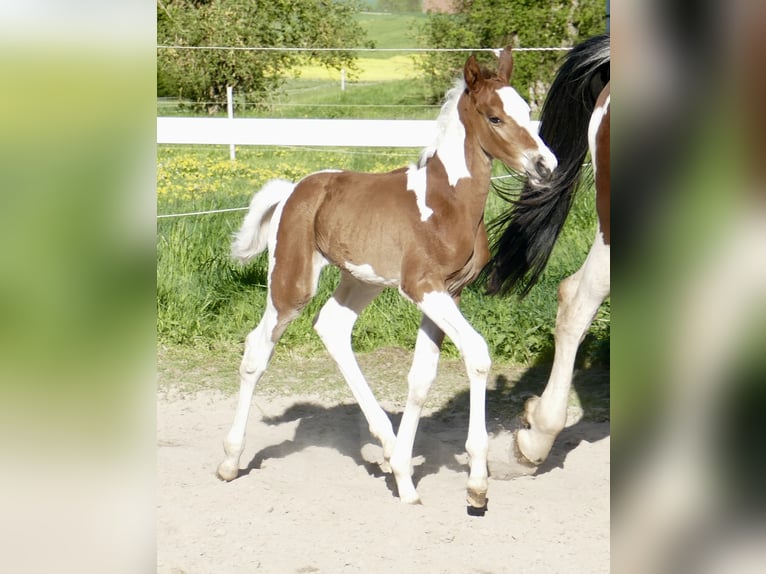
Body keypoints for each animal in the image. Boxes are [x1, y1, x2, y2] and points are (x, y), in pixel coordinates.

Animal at [216, 46, 557, 509]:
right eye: (495, 118)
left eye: (527, 110)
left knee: (332, 327)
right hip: (291, 281)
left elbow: (421, 377)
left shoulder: (450, 292)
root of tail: (293, 189)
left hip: (363, 280)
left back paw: (387, 446)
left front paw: (405, 476)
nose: (546, 166)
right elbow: (477, 354)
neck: (446, 202)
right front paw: (476, 484)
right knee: (257, 349)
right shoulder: (422, 287)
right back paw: (231, 461)